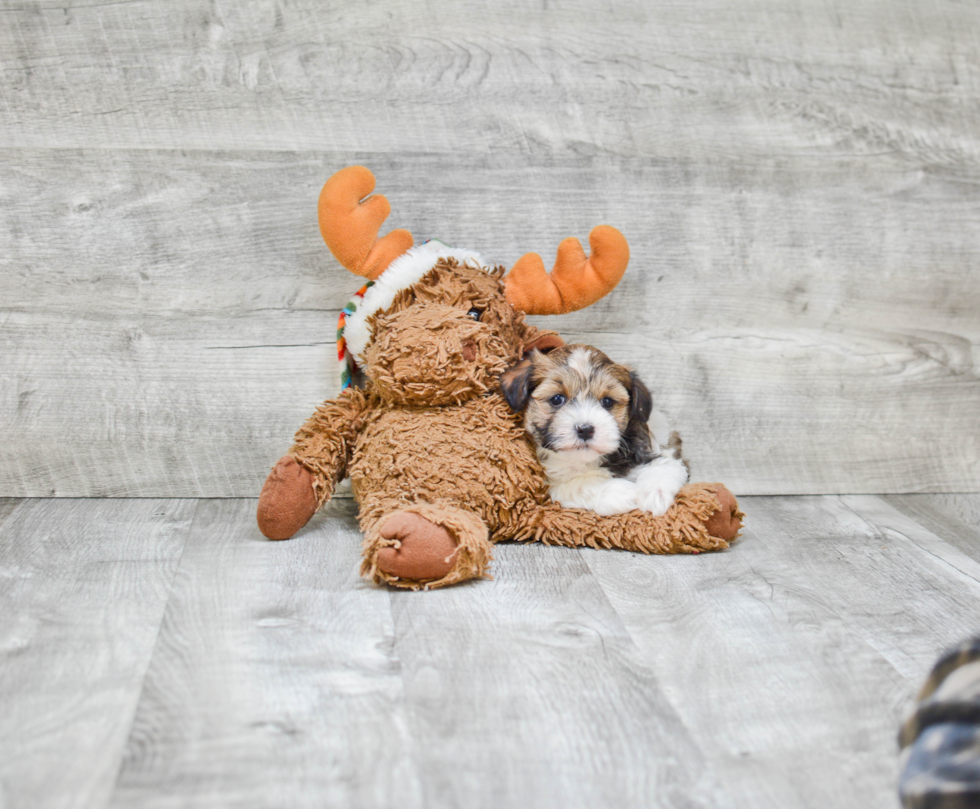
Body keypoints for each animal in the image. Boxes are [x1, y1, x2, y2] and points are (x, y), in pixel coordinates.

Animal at [498, 344, 688, 516]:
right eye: (557, 399)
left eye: (607, 402)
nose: (585, 429)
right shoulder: (552, 485)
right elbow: (580, 485)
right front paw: (620, 492)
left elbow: (663, 466)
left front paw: (655, 495)